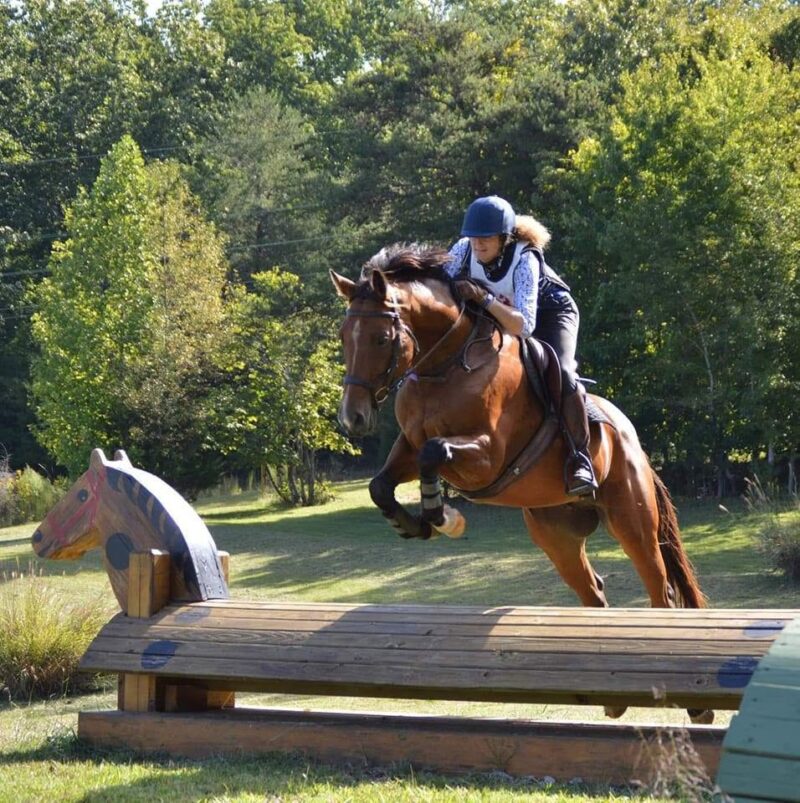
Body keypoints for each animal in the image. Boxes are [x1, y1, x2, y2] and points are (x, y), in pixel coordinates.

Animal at [331, 244, 712, 723]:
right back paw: (613, 697)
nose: (353, 418)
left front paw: (444, 517)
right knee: (593, 593)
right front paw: (413, 523)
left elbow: (435, 453)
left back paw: (693, 704)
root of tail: (633, 440)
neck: (445, 364)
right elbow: (382, 484)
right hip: (555, 534)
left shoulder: (488, 455)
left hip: (632, 521)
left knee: (660, 591)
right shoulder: (408, 445)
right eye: (344, 337)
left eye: (381, 339)